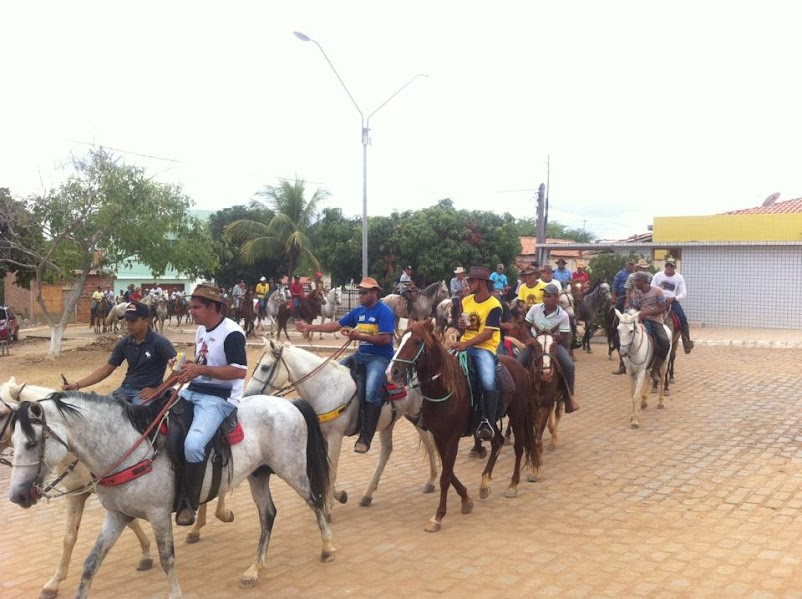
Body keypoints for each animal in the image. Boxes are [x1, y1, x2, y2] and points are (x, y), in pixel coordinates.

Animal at [7, 390, 332, 596]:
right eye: (13, 442)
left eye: (32, 443)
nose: (18, 496)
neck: (128, 447)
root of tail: (288, 403)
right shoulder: (117, 515)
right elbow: (90, 563)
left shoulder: (159, 514)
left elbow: (167, 559)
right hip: (259, 474)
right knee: (268, 515)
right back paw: (254, 569)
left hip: (292, 469)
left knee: (315, 501)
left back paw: (327, 547)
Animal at [242, 340, 438, 516]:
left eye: (265, 367)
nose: (248, 394)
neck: (325, 387)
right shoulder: (323, 436)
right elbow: (325, 468)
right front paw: (339, 495)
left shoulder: (336, 436)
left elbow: (333, 469)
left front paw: (329, 507)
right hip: (391, 422)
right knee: (388, 451)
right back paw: (368, 495)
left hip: (417, 414)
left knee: (430, 443)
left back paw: (431, 481)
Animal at [384, 322, 536, 532]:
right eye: (399, 340)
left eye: (416, 342)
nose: (392, 372)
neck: (445, 389)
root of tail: (519, 366)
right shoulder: (439, 436)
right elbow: (448, 473)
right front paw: (466, 499)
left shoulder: (452, 438)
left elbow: (445, 477)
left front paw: (438, 516)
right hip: (489, 421)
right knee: (497, 441)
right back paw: (485, 483)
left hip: (517, 414)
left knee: (519, 446)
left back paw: (513, 485)